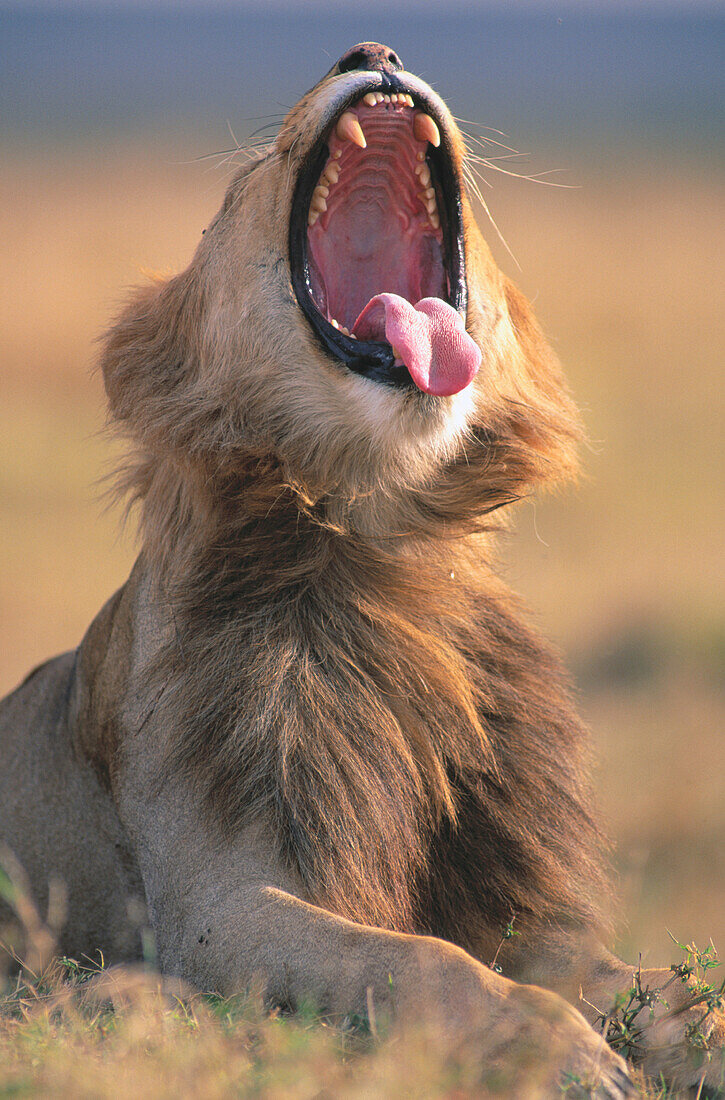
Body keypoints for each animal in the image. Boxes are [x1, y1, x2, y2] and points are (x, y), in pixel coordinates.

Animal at [0, 40, 721, 1091]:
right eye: (244, 180)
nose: (371, 51)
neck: (383, 538)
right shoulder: (213, 907)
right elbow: (424, 961)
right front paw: (561, 1054)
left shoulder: (518, 914)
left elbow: (667, 986)